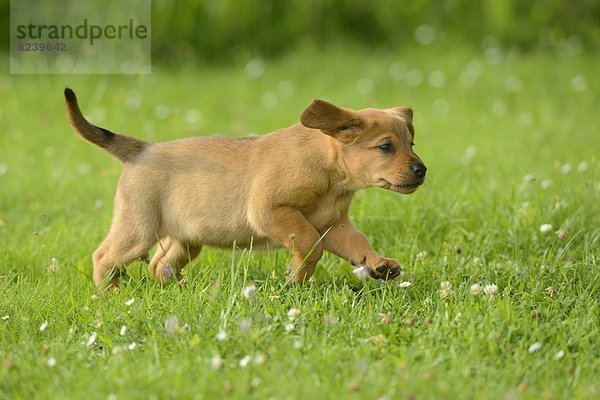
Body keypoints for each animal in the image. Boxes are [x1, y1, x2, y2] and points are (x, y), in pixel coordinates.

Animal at [64, 87, 426, 290]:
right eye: (385, 147)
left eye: (411, 143)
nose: (422, 170)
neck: (331, 177)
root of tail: (142, 148)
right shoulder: (271, 211)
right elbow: (309, 245)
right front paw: (297, 278)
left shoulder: (334, 224)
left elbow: (358, 243)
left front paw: (379, 265)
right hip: (138, 229)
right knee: (104, 257)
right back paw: (110, 294)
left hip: (185, 238)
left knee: (159, 264)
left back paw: (180, 291)